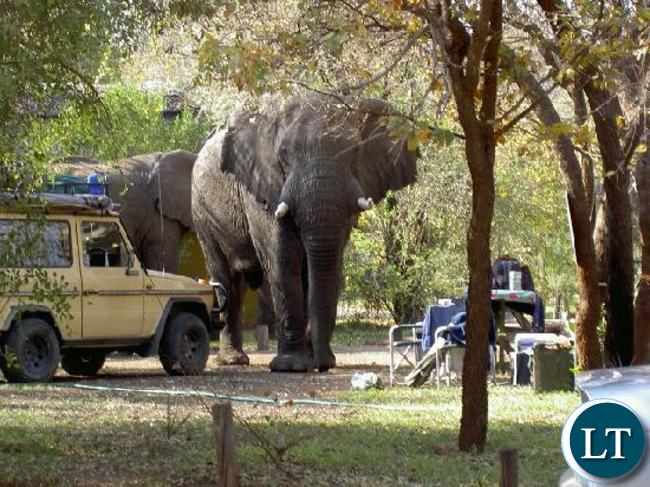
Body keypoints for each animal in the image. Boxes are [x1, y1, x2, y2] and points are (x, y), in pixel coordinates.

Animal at [190, 93, 418, 372]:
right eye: (283, 154)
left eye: (354, 151)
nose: (322, 365)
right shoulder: (263, 187)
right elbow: (283, 259)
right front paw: (290, 366)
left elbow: (328, 263)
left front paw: (315, 359)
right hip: (202, 213)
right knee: (227, 279)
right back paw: (233, 360)